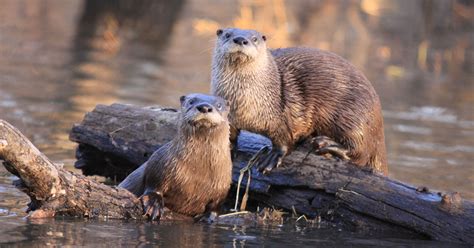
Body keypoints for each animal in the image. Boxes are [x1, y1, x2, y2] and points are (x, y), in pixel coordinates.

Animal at [212, 27, 388, 174]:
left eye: (254, 39)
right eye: (227, 34)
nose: (241, 39)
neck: (244, 105)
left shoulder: (285, 115)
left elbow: (285, 140)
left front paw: (273, 157)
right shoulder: (229, 116)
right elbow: (229, 135)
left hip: (353, 118)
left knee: (360, 153)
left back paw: (325, 144)